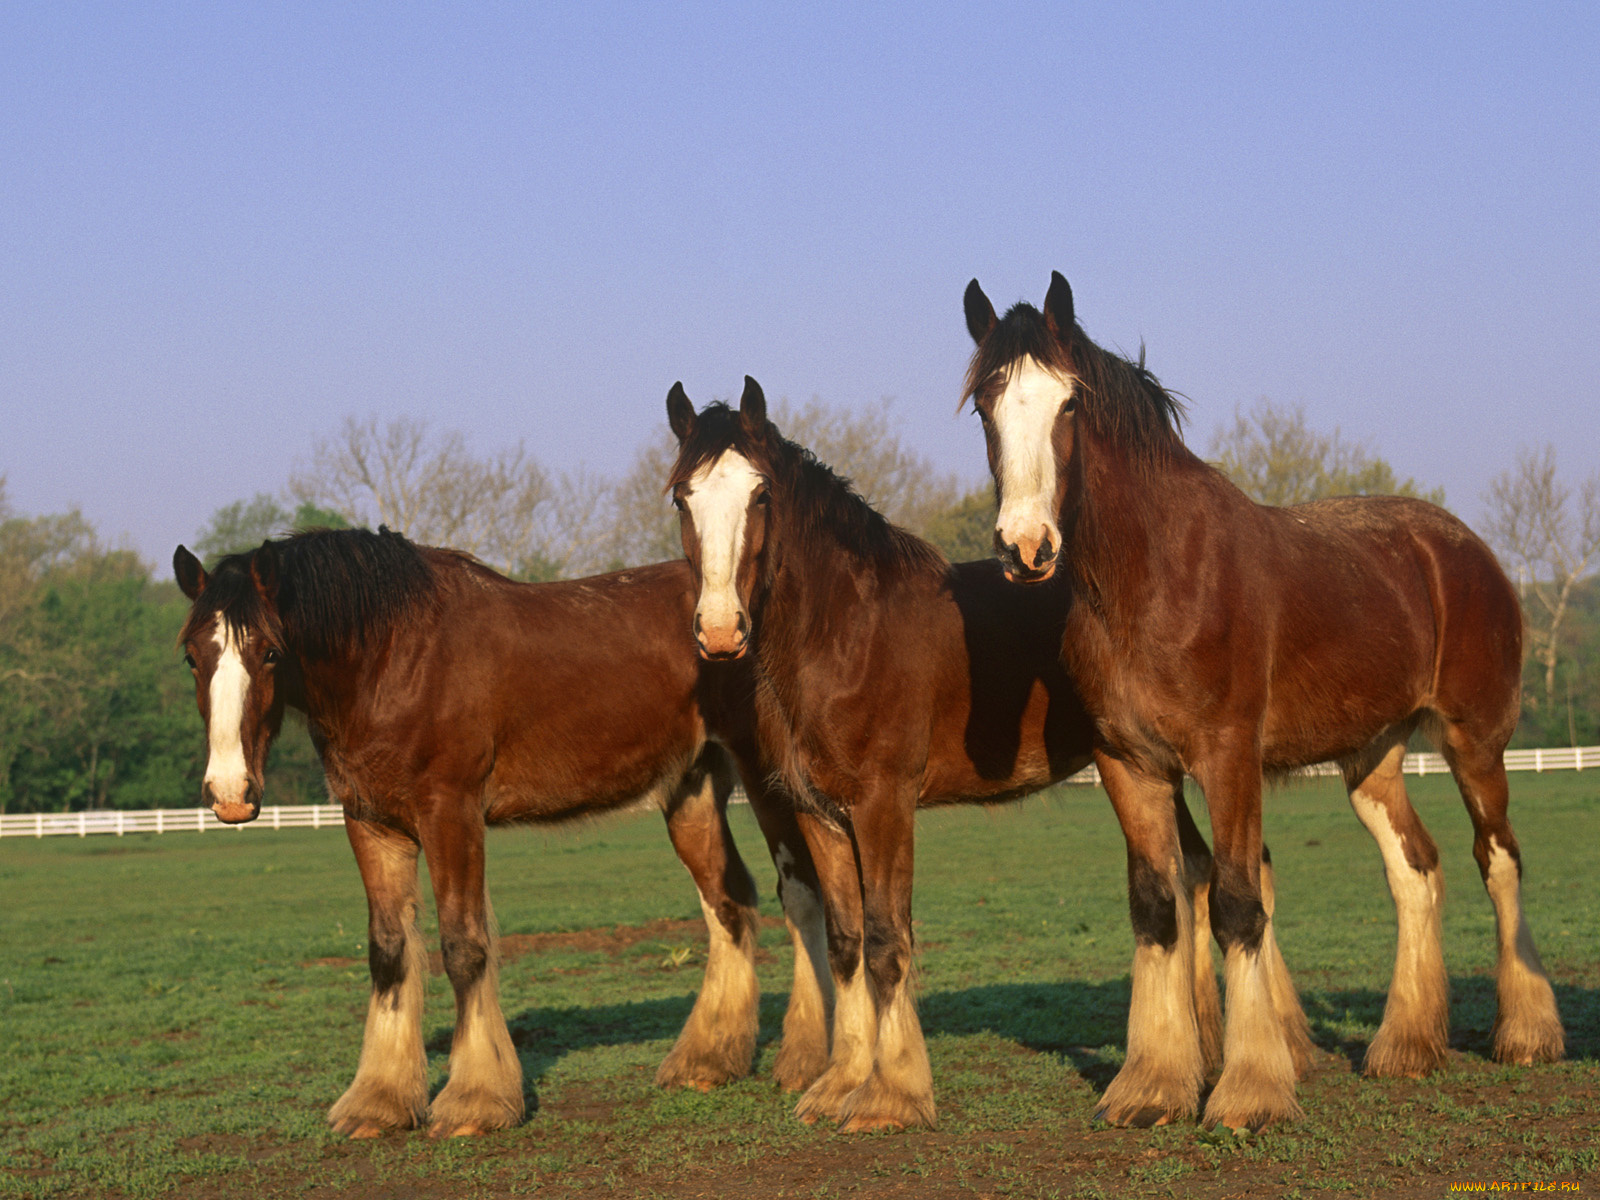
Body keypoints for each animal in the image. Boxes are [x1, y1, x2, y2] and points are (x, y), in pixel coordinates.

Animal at [176, 531, 838, 1139]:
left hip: (768, 778)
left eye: (269, 652)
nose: (230, 792)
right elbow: (388, 951)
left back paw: (806, 1059)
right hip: (691, 788)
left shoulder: (451, 814)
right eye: (190, 656)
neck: (393, 657)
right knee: (729, 902)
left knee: (800, 896)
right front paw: (378, 1101)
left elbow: (464, 947)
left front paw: (475, 1100)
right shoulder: (371, 823)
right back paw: (708, 1060)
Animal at [662, 380, 1222, 1132]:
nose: (721, 632)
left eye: (761, 495)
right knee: (1192, 872)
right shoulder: (819, 815)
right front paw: (840, 1084)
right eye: (682, 497)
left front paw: (892, 1096)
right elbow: (845, 943)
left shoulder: (883, 806)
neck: (845, 633)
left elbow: (886, 939)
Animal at [960, 270, 1561, 1126]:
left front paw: (1250, 1091)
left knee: (1498, 858)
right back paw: (1406, 1046)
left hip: (1475, 741)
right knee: (1415, 868)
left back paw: (1528, 1033)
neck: (1158, 577)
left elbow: (1239, 902)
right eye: (986, 405)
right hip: (1372, 757)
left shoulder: (1228, 758)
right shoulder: (1129, 765)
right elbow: (1158, 906)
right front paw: (1151, 1084)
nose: (1026, 548)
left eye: (1069, 403)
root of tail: (1463, 548)